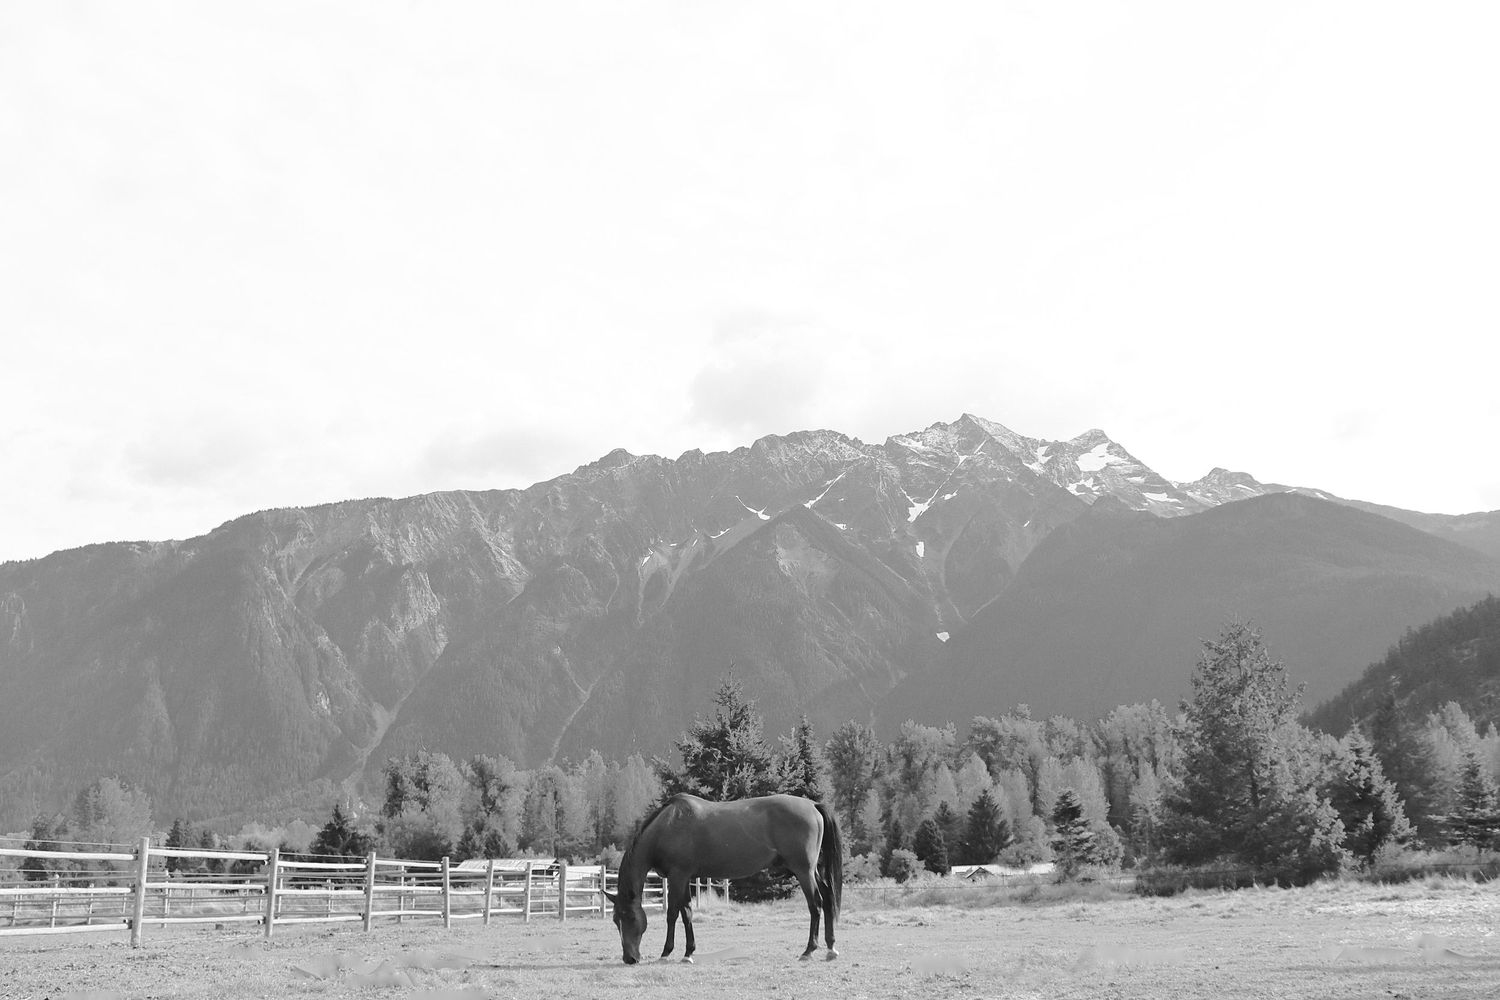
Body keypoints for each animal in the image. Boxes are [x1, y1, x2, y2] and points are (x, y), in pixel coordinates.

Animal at [605, 792, 843, 964]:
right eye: (615, 920)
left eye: (629, 917)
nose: (629, 958)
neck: (668, 826)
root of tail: (812, 805)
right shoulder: (685, 878)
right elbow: (687, 913)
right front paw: (688, 953)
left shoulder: (678, 876)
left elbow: (672, 914)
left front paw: (666, 952)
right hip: (811, 871)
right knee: (828, 899)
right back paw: (831, 948)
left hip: (803, 871)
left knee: (816, 905)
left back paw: (809, 951)